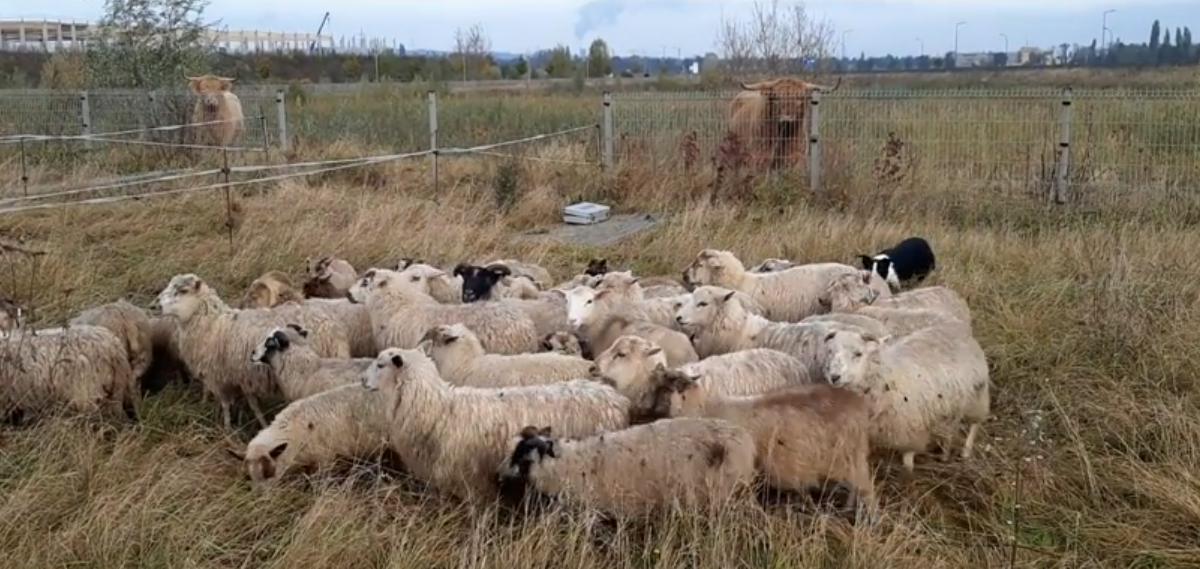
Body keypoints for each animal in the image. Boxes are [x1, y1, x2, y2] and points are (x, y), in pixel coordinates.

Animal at [150, 273, 350, 429]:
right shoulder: (244, 376)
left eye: (183, 291)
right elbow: (253, 405)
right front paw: (260, 424)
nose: (153, 306)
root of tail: (330, 327)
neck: (213, 325)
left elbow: (226, 405)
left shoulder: (220, 377)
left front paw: (226, 429)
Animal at [646, 368, 877, 520]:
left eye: (668, 390)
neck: (702, 408)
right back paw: (846, 512)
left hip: (851, 459)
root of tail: (857, 400)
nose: (651, 412)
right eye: (662, 389)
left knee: (867, 491)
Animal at [820, 322, 990, 474]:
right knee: (951, 427)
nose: (834, 377)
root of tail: (960, 331)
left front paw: (908, 473)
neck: (883, 374)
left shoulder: (910, 424)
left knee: (974, 424)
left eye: (858, 354)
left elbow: (908, 454)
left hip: (976, 396)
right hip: (953, 402)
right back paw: (945, 454)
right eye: (830, 351)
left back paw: (966, 452)